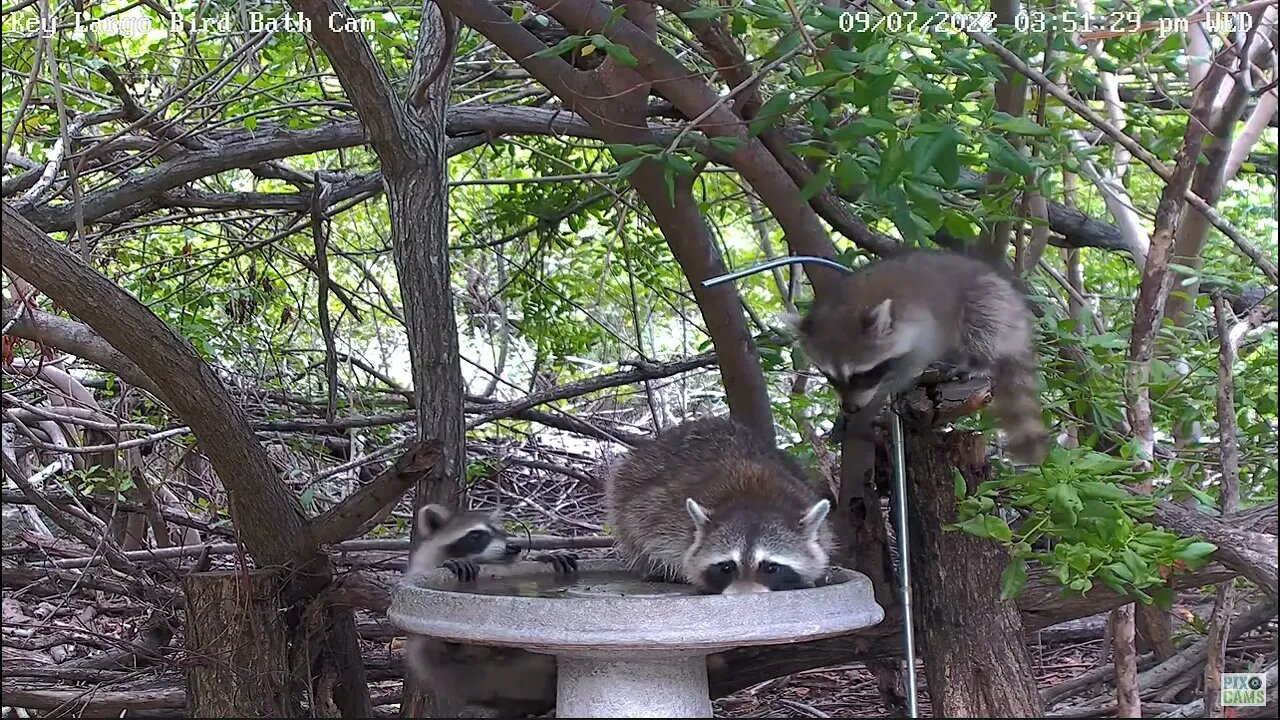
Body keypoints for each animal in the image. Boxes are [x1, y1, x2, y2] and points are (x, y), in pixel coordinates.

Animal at [604, 417, 835, 594]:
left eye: (771, 568)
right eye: (726, 567)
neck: (753, 500)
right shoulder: (666, 515)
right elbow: (646, 532)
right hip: (633, 477)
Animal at [790, 248, 1049, 464]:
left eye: (860, 375)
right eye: (829, 376)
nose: (850, 407)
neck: (845, 307)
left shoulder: (922, 323)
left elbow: (911, 364)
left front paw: (879, 399)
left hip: (993, 300)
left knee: (981, 320)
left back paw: (978, 361)